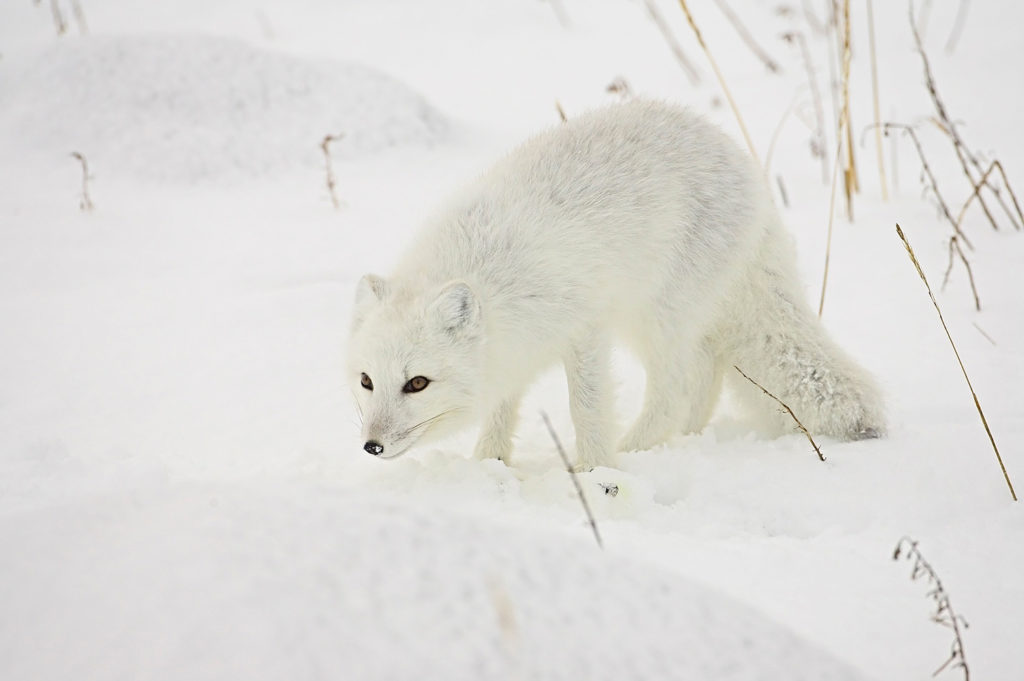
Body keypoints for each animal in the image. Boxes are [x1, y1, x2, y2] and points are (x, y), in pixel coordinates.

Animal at [348, 99, 884, 466]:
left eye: (417, 383)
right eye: (366, 381)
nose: (371, 446)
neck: (489, 270)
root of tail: (745, 165)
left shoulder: (585, 330)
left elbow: (586, 408)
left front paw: (595, 472)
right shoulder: (513, 350)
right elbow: (502, 409)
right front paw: (489, 466)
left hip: (657, 316)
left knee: (676, 390)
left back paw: (636, 452)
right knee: (704, 375)